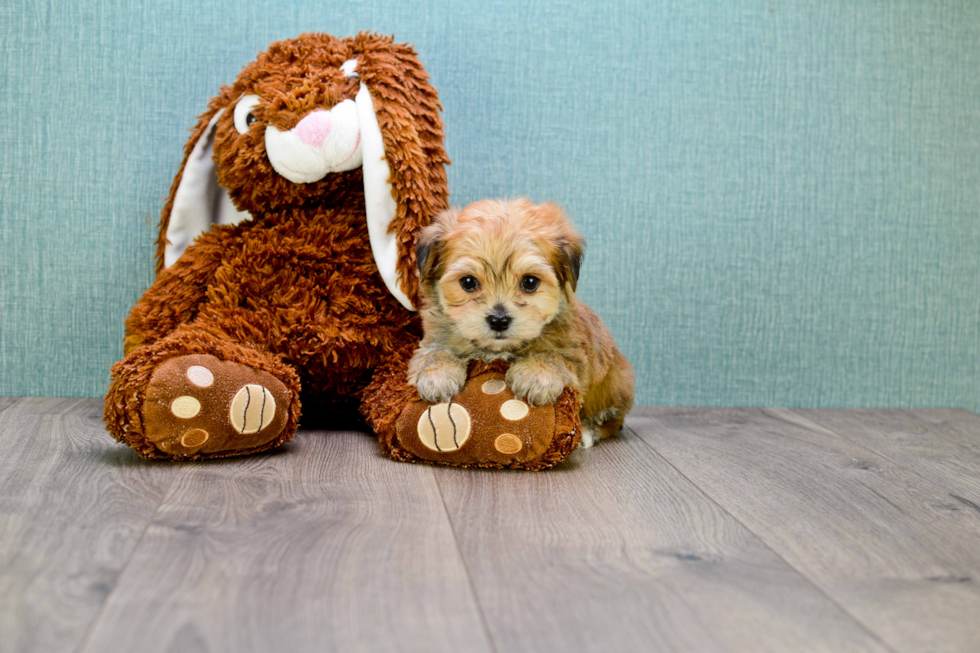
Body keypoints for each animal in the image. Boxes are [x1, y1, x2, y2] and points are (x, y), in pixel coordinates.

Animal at [406, 196, 636, 446]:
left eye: (530, 282)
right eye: (468, 282)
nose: (499, 320)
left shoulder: (575, 353)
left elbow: (555, 356)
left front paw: (536, 374)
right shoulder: (435, 337)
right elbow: (434, 352)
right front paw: (437, 375)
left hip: (615, 386)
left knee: (611, 420)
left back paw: (587, 430)